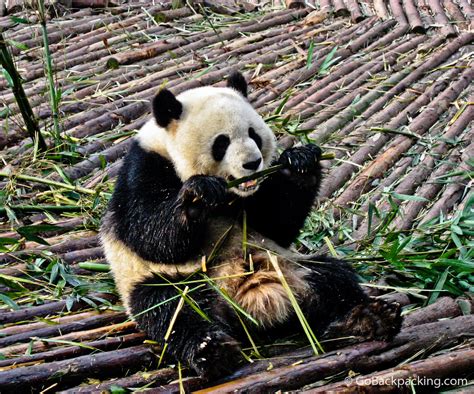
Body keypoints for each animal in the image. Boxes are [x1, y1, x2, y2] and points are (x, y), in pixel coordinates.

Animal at [100, 72, 400, 380]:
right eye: (221, 143)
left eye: (253, 134)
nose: (253, 163)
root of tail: (251, 301)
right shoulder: (142, 169)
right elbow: (150, 236)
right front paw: (198, 195)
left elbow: (276, 223)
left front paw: (300, 162)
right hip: (176, 281)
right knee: (173, 309)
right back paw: (212, 351)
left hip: (290, 265)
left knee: (333, 278)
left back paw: (368, 318)